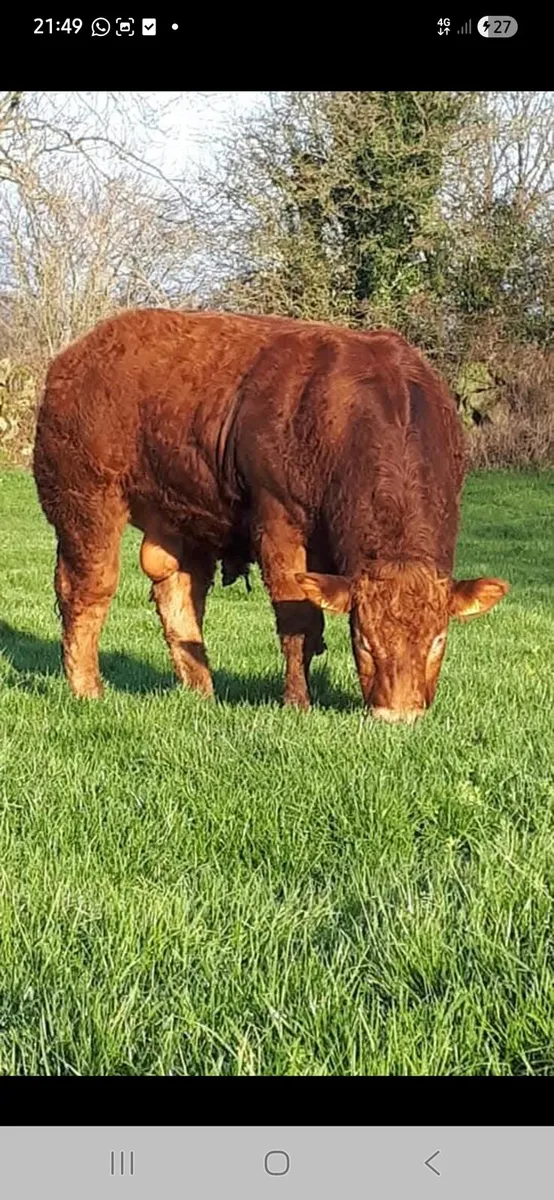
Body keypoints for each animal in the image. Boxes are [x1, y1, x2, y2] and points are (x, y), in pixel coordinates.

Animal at [33, 308, 508, 722]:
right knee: (87, 590)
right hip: (86, 501)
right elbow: (298, 621)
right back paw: (87, 688)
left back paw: (201, 693)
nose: (399, 715)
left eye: (439, 639)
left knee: (179, 600)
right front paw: (297, 702)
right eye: (363, 641)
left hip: (182, 518)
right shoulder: (279, 525)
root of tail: (78, 354)